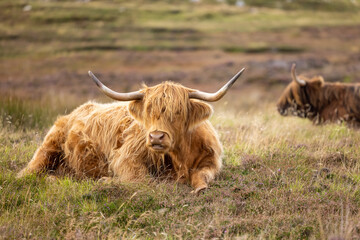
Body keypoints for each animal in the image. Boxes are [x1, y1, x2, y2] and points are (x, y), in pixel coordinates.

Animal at [18, 67, 246, 193]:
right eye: (148, 111)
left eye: (179, 111)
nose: (156, 137)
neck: (181, 155)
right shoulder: (126, 157)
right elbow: (143, 180)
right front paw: (105, 180)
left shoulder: (211, 161)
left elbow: (202, 176)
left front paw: (199, 189)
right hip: (46, 149)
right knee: (28, 173)